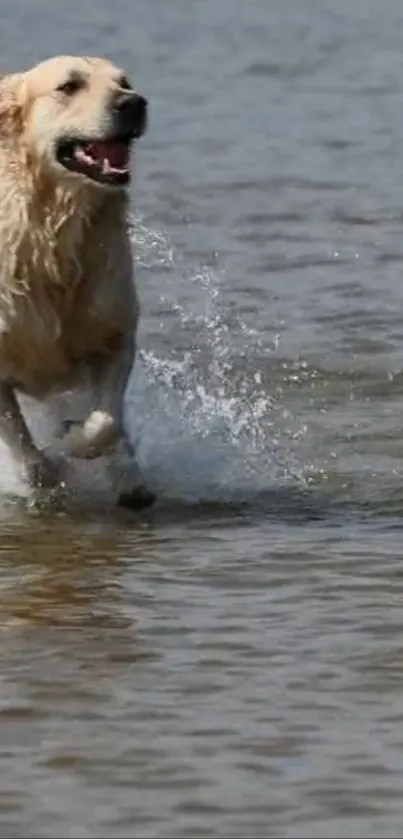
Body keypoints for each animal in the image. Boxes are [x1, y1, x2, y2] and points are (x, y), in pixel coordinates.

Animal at [0, 55, 155, 508]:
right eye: (69, 86)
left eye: (125, 82)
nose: (134, 103)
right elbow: (27, 453)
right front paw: (46, 471)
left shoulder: (114, 335)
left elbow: (104, 423)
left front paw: (72, 446)